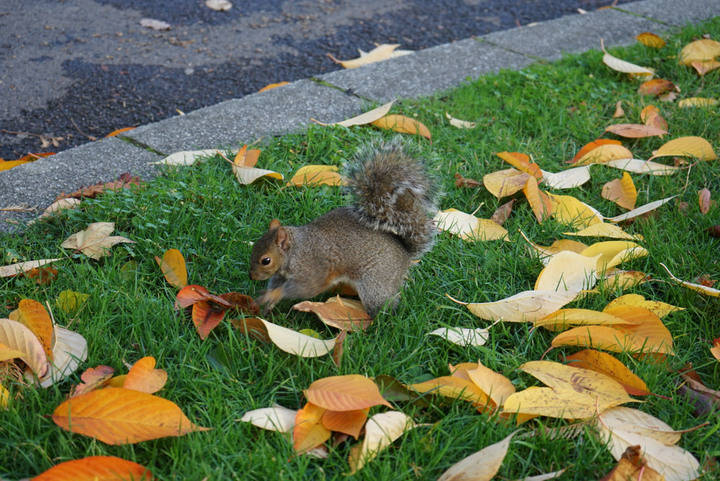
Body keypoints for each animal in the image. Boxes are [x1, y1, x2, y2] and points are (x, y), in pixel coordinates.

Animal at [250, 139, 436, 316]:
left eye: (266, 260)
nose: (252, 276)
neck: (295, 250)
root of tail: (405, 253)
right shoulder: (282, 274)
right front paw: (269, 303)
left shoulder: (313, 269)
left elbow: (306, 288)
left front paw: (272, 295)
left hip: (375, 284)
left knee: (384, 308)